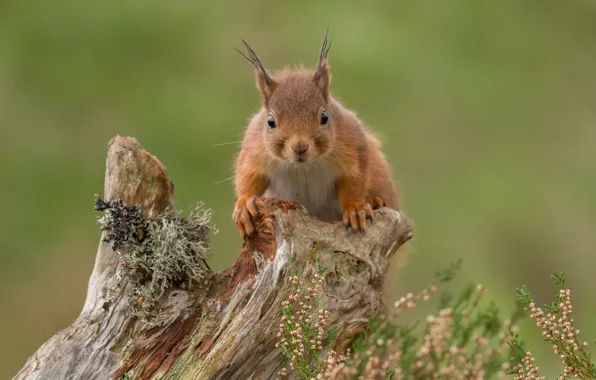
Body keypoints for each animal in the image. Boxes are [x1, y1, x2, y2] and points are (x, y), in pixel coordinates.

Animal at [233, 31, 400, 238]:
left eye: (324, 117)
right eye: (270, 121)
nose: (300, 147)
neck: (303, 166)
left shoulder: (353, 146)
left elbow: (355, 181)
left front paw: (355, 209)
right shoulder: (254, 151)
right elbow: (248, 177)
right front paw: (244, 207)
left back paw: (375, 202)